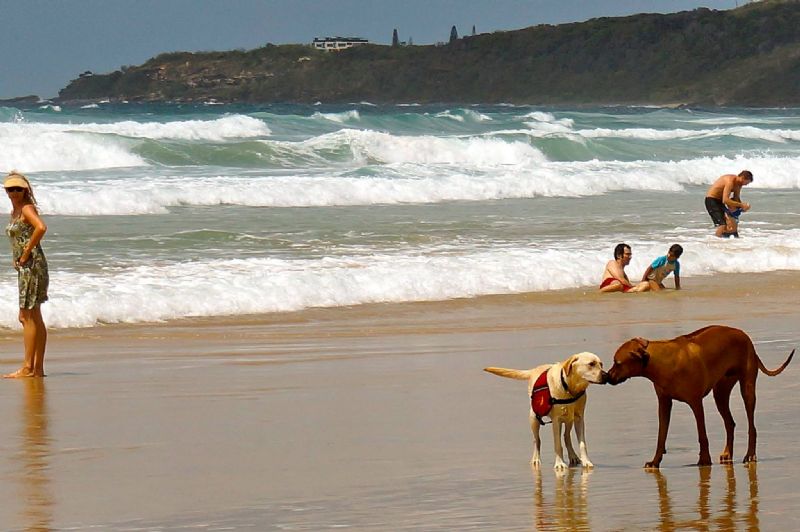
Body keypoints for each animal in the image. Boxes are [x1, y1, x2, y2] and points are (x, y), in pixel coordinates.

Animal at [608, 326, 792, 468]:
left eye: (617, 363)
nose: (607, 376)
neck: (664, 362)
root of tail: (745, 336)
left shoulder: (696, 402)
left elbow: (702, 434)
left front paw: (704, 459)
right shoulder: (664, 403)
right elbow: (661, 436)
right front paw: (655, 461)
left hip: (747, 388)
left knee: (751, 426)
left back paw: (750, 455)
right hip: (720, 392)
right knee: (730, 423)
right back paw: (728, 453)